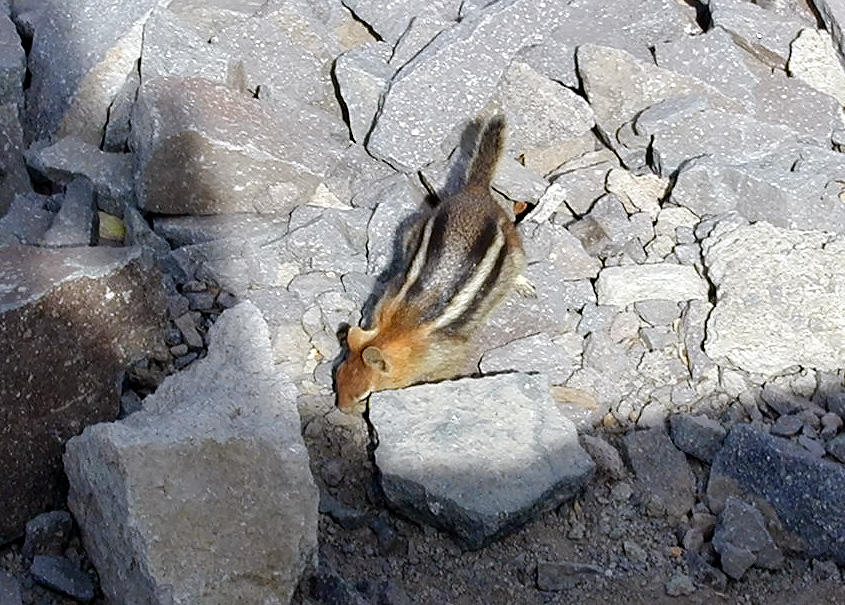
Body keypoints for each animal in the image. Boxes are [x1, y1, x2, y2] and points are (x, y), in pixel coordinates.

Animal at [335, 116, 535, 413]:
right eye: (338, 374)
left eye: (365, 395)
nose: (341, 408)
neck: (400, 330)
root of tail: (477, 193)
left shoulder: (448, 352)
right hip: (413, 229)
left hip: (514, 250)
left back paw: (522, 284)